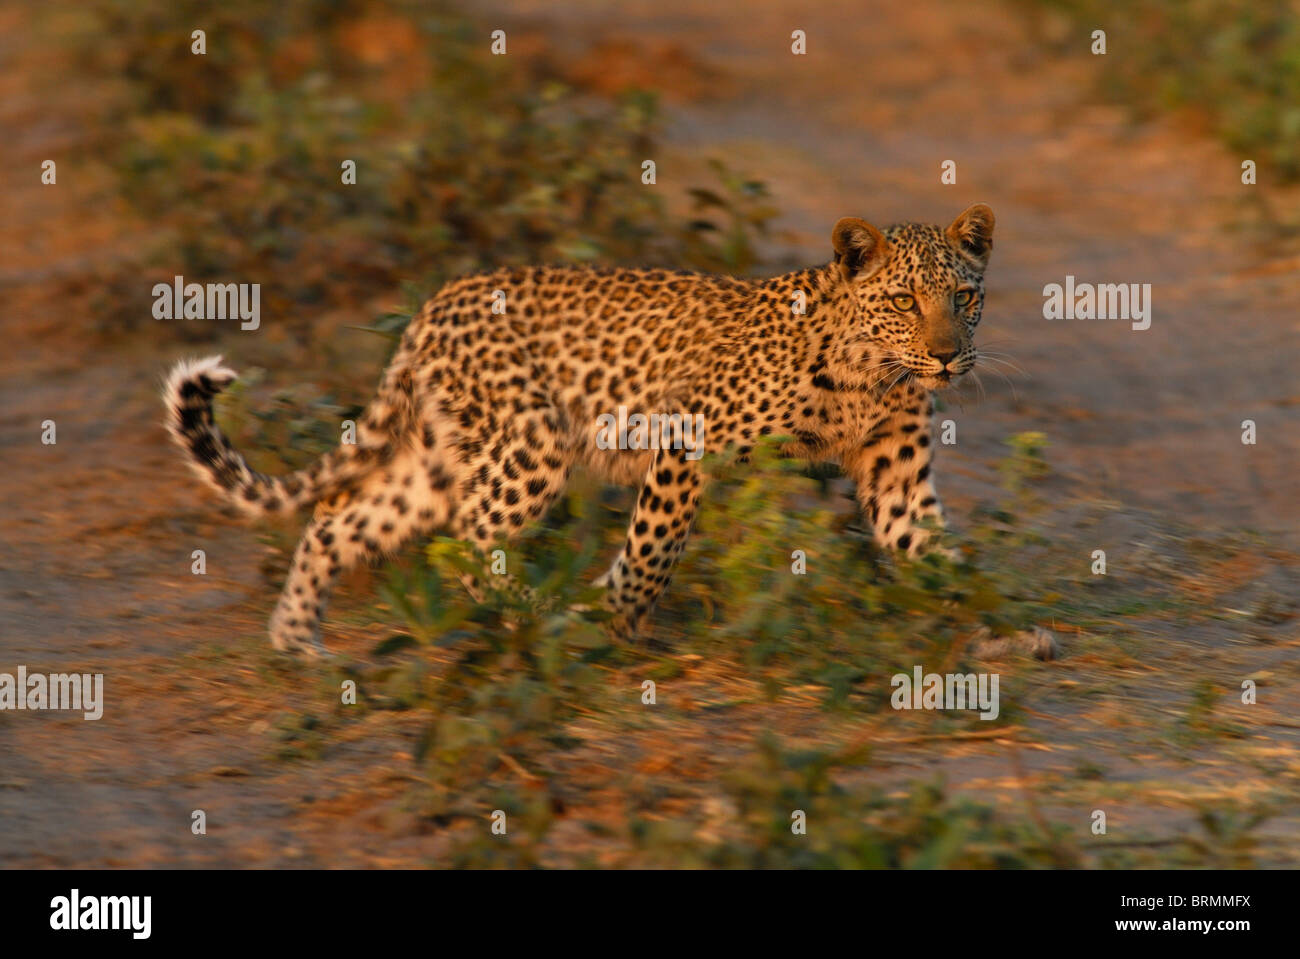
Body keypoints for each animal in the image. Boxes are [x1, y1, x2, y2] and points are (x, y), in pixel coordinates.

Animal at [162, 201, 993, 649]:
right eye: (904, 300)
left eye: (963, 297)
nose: (949, 355)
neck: (871, 374)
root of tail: (434, 303)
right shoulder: (687, 436)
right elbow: (655, 547)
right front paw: (617, 618)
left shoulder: (895, 471)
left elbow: (927, 548)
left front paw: (991, 624)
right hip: (529, 446)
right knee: (469, 539)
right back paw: (538, 615)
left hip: (438, 457)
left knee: (342, 517)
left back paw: (296, 640)